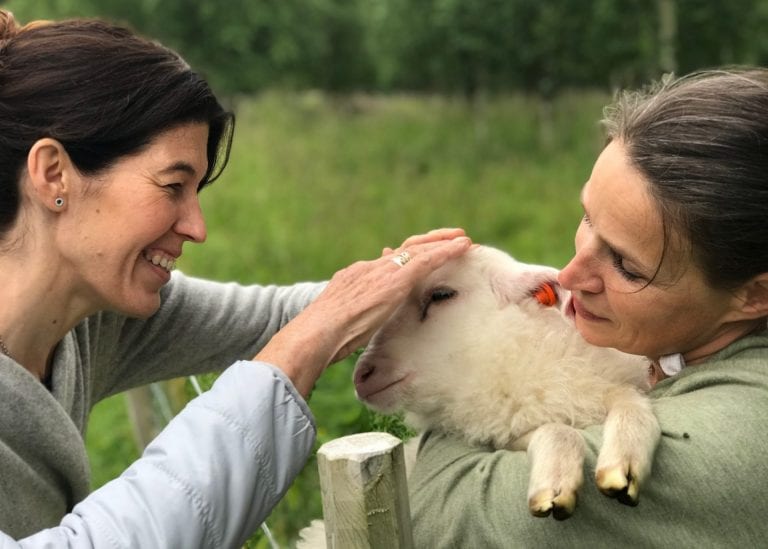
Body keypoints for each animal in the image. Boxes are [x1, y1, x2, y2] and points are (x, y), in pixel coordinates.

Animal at [354, 245, 660, 520]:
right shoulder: (505, 435)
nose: (361, 375)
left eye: (441, 295)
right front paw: (554, 484)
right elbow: (558, 430)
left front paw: (624, 460)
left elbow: (628, 398)